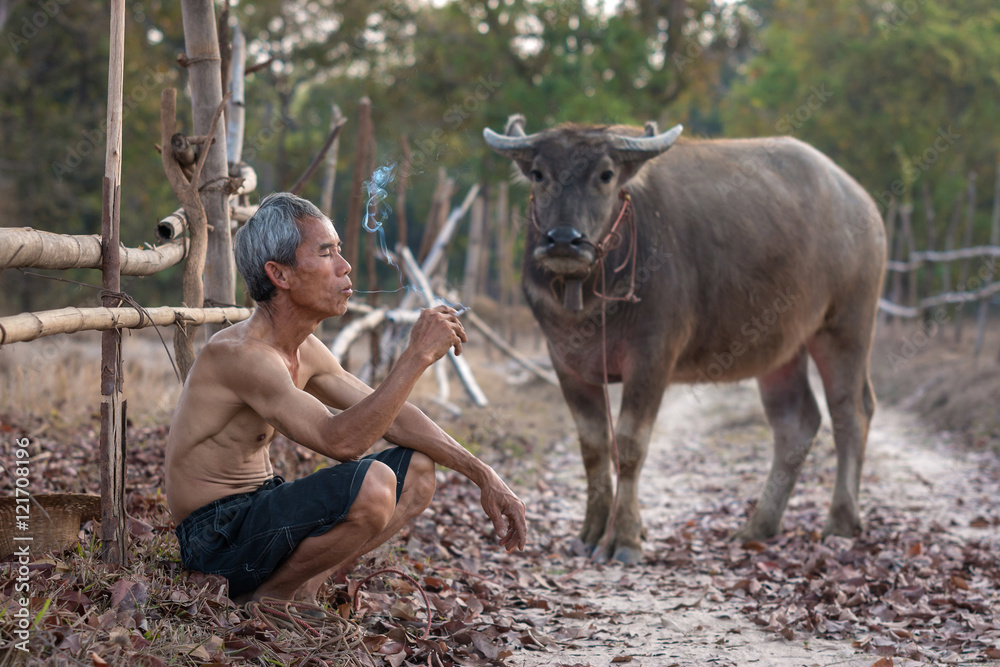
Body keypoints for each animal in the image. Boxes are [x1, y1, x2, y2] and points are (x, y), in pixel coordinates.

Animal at [482, 115, 884, 564]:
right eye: (539, 173)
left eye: (605, 174)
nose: (564, 239)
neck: (588, 294)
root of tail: (861, 203)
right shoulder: (566, 363)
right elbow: (593, 447)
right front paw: (591, 532)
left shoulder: (652, 358)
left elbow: (630, 445)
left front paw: (624, 539)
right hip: (783, 348)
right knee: (796, 422)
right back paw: (758, 526)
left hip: (845, 326)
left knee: (851, 412)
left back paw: (841, 522)